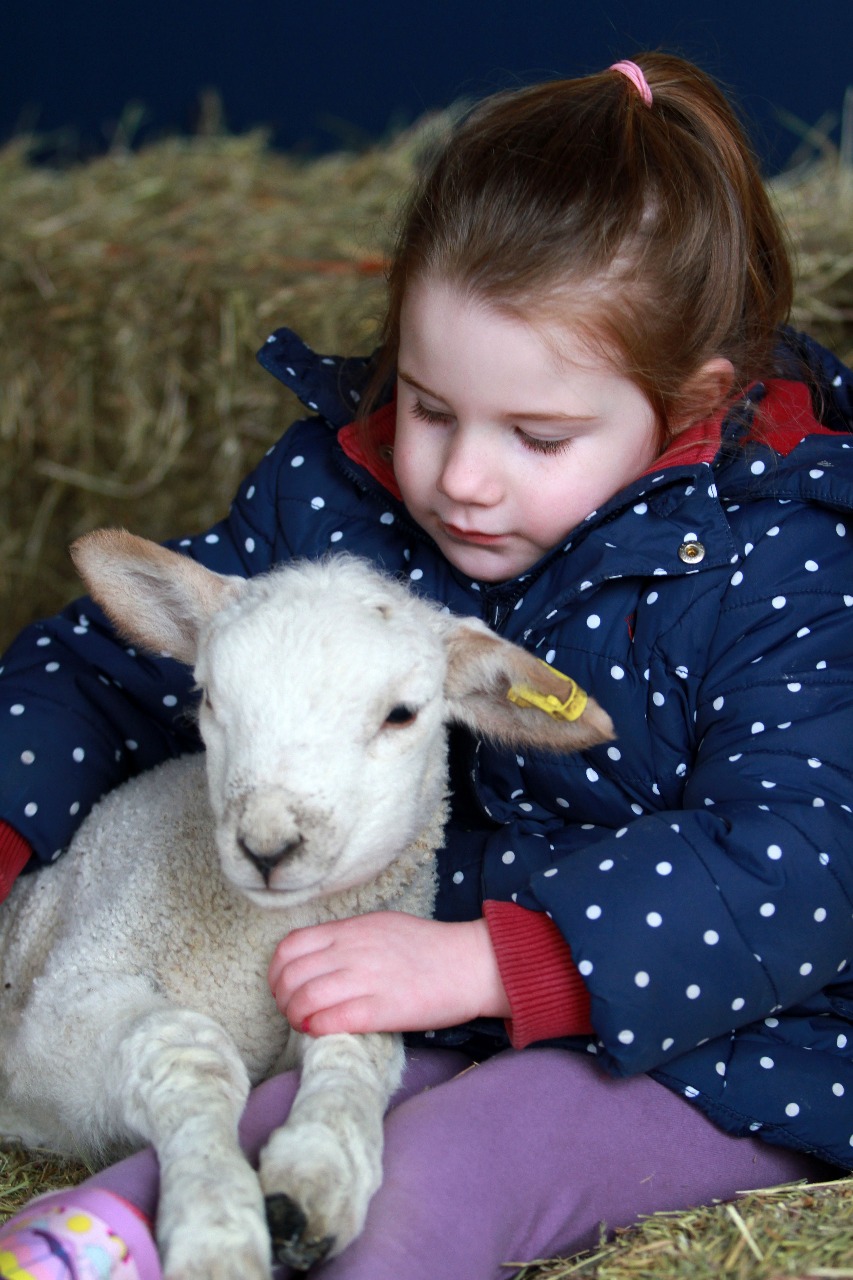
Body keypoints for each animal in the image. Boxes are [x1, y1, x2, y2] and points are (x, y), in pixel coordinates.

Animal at [0, 530, 614, 1280]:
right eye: (209, 697)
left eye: (401, 714)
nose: (266, 846)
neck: (249, 940)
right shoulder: (58, 1015)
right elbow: (190, 1052)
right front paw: (217, 1226)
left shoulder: (350, 969)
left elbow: (358, 1050)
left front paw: (315, 1180)